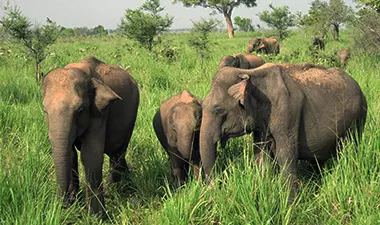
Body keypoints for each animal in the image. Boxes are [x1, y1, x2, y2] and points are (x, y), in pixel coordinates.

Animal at [42, 55, 140, 215]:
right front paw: (73, 202)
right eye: (45, 110)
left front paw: (96, 216)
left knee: (118, 151)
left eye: (80, 110)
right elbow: (70, 153)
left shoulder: (99, 112)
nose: (60, 206)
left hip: (132, 115)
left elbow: (90, 156)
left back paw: (111, 187)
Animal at [199, 62, 368, 201]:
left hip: (358, 119)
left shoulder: (287, 113)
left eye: (218, 110)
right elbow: (261, 154)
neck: (250, 73)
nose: (216, 189)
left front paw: (289, 204)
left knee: (351, 149)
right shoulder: (262, 122)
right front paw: (264, 189)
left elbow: (285, 154)